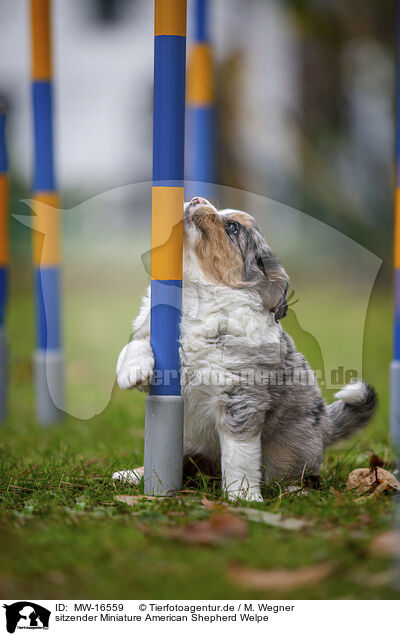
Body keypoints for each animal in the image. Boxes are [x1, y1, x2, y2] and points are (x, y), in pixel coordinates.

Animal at [114, 196, 376, 500]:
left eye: (232, 227)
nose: (196, 199)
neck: (198, 295)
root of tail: (326, 425)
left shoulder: (240, 397)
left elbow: (239, 456)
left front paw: (244, 497)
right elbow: (136, 342)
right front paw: (132, 372)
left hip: (289, 451)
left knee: (298, 474)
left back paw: (294, 491)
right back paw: (132, 474)